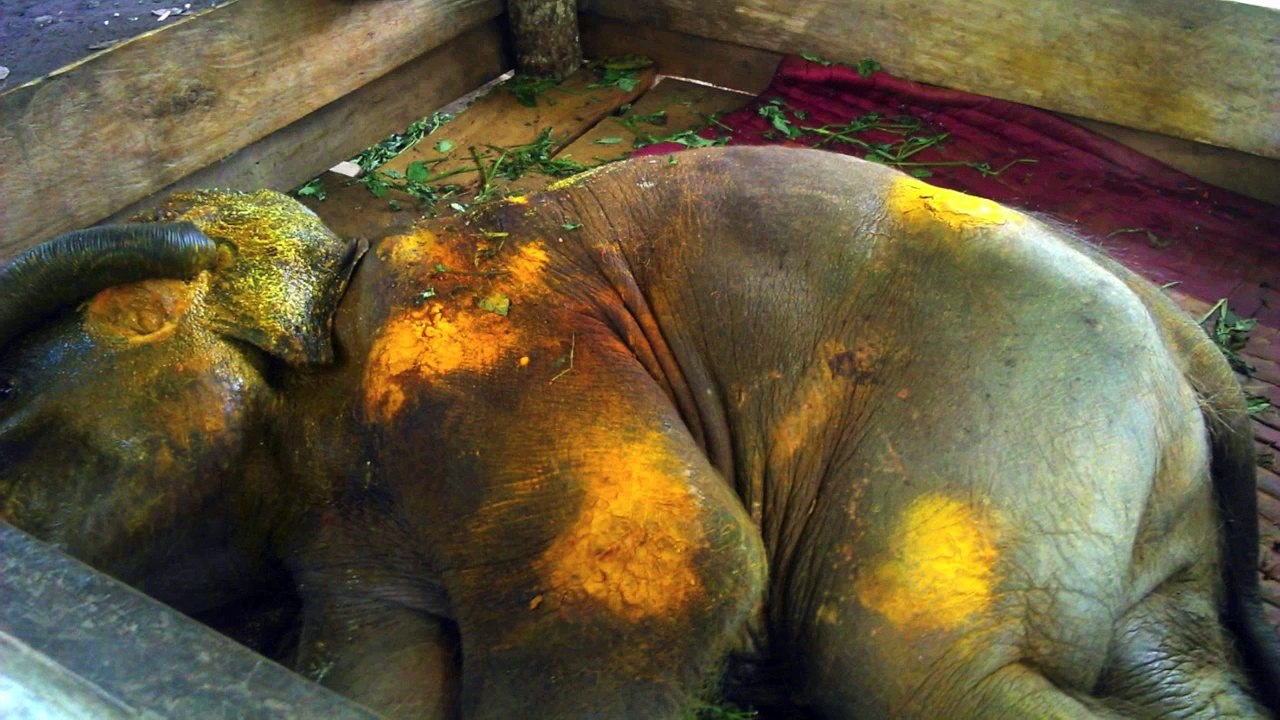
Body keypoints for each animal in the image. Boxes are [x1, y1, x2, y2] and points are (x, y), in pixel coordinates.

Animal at [1, 146, 1278, 719]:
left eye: (13, 423)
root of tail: (1194, 356)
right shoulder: (345, 541)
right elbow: (375, 671)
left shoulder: (474, 371)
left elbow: (676, 568)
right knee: (1179, 676)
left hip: (998, 432)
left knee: (903, 671)